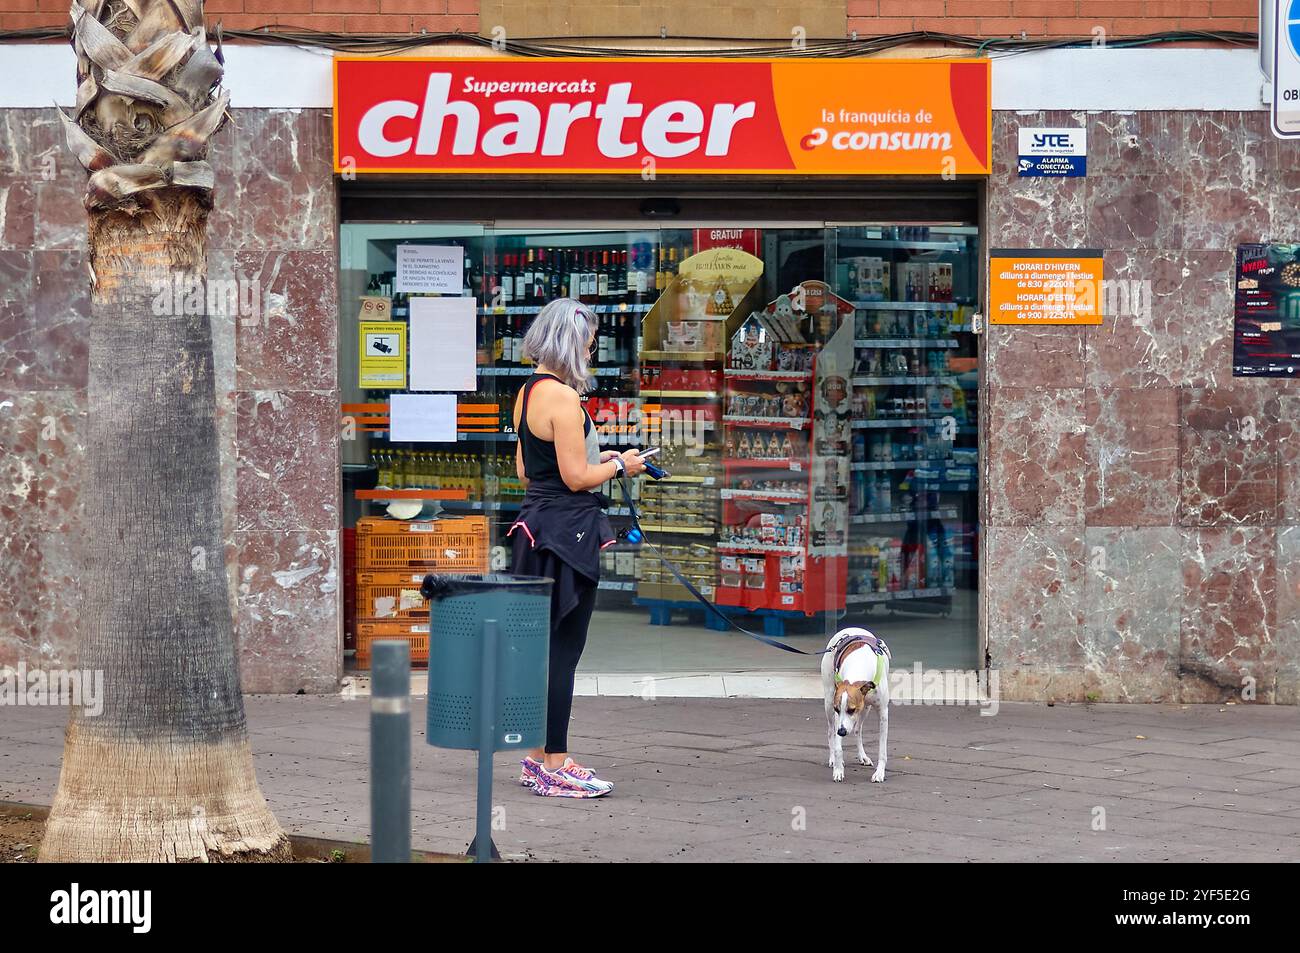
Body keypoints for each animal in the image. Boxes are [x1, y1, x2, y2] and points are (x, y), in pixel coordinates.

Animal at [821, 624, 894, 780]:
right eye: (837, 709)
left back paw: (862, 756)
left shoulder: (883, 713)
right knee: (831, 731)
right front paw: (838, 769)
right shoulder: (837, 710)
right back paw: (833, 758)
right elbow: (838, 746)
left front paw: (879, 773)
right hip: (829, 700)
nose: (842, 732)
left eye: (852, 709)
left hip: (865, 709)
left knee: (857, 730)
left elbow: (882, 750)